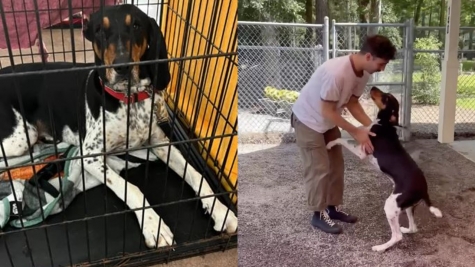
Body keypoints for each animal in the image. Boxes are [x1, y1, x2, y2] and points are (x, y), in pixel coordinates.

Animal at [0, 3, 238, 249]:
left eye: (136, 25)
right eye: (98, 30)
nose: (122, 66)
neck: (129, 99)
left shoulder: (160, 142)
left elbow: (195, 174)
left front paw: (221, 210)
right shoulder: (90, 156)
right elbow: (132, 189)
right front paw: (154, 225)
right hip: (20, 138)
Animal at [328, 87, 442, 253]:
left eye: (387, 97)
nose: (373, 88)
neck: (385, 123)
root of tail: (424, 189)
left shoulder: (362, 152)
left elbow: (343, 139)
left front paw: (331, 142)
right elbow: (358, 130)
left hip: (390, 205)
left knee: (397, 236)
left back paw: (380, 247)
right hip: (406, 207)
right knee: (413, 228)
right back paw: (406, 229)